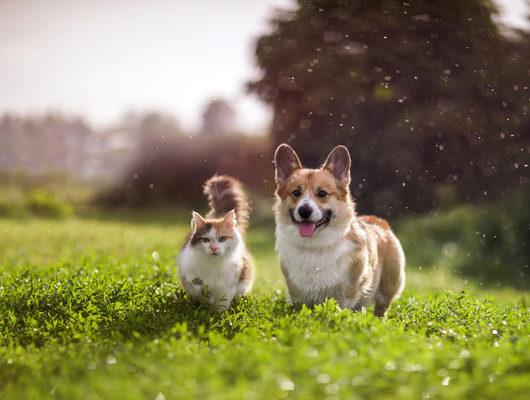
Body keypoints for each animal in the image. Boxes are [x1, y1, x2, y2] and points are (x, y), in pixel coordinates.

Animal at [177, 176, 254, 312]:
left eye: (222, 239)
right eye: (205, 240)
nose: (213, 248)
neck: (213, 263)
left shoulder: (230, 282)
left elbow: (223, 301)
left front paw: (218, 314)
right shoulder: (187, 270)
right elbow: (198, 284)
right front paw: (207, 299)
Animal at [272, 144, 404, 316]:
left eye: (322, 193)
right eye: (296, 192)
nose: (304, 211)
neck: (315, 245)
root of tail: (379, 221)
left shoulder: (348, 293)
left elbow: (343, 308)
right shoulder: (297, 295)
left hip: (387, 287)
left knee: (381, 308)